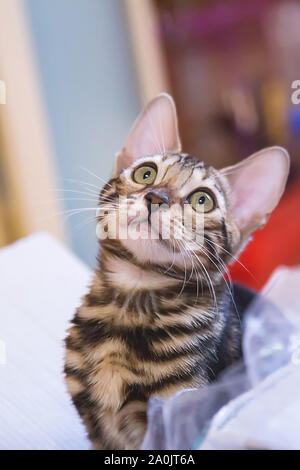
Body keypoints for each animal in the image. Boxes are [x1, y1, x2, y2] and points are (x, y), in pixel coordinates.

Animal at [63, 92, 290, 452]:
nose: (156, 197)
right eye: (145, 174)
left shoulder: (175, 416)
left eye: (202, 200)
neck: (131, 301)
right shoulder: (95, 428)